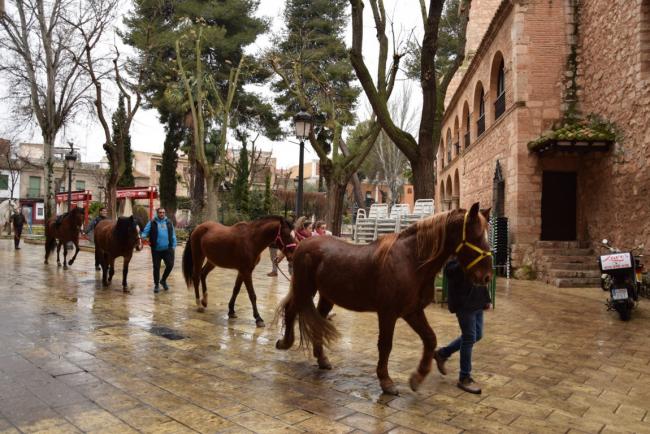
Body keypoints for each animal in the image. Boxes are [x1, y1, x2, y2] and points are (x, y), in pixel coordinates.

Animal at [274, 202, 492, 396]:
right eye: (476, 236)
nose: (487, 277)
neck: (411, 261)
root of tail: (303, 244)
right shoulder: (388, 313)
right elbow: (386, 345)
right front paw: (386, 382)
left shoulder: (412, 311)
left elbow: (430, 339)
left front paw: (417, 377)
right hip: (305, 289)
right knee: (292, 310)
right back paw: (285, 343)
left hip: (327, 296)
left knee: (317, 320)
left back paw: (321, 358)